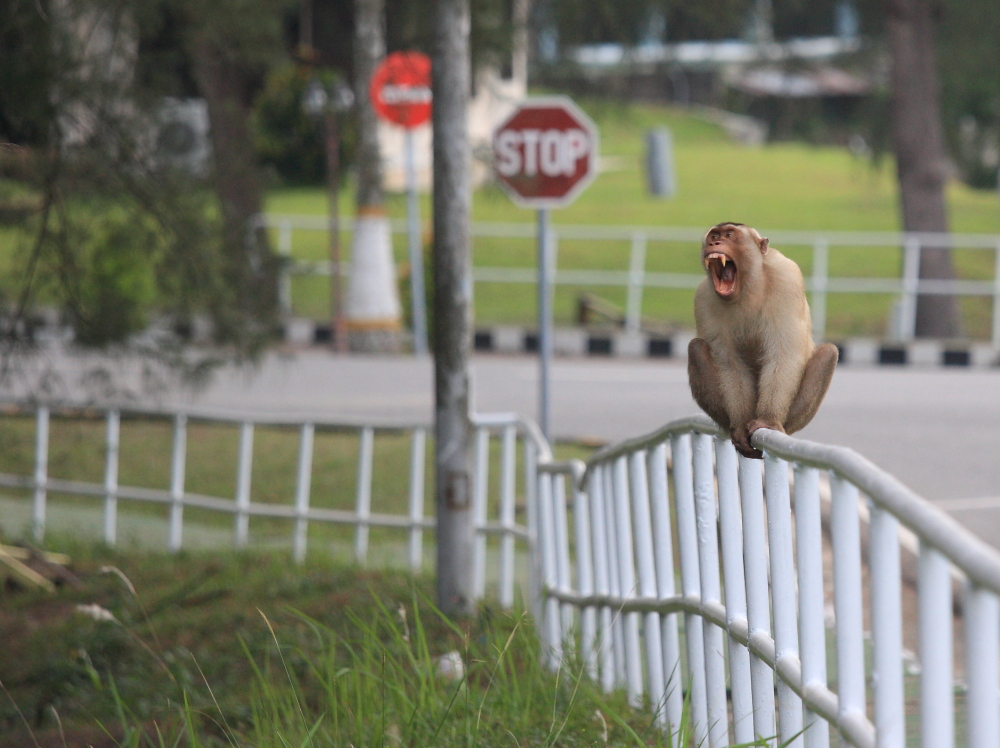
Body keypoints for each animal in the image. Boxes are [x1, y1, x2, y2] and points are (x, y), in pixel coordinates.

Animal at [688, 221, 836, 456]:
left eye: (729, 235)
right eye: (714, 236)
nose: (714, 243)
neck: (747, 288)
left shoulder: (787, 279)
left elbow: (784, 355)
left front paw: (768, 420)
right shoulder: (703, 298)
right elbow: (730, 364)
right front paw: (740, 426)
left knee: (828, 353)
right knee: (696, 348)